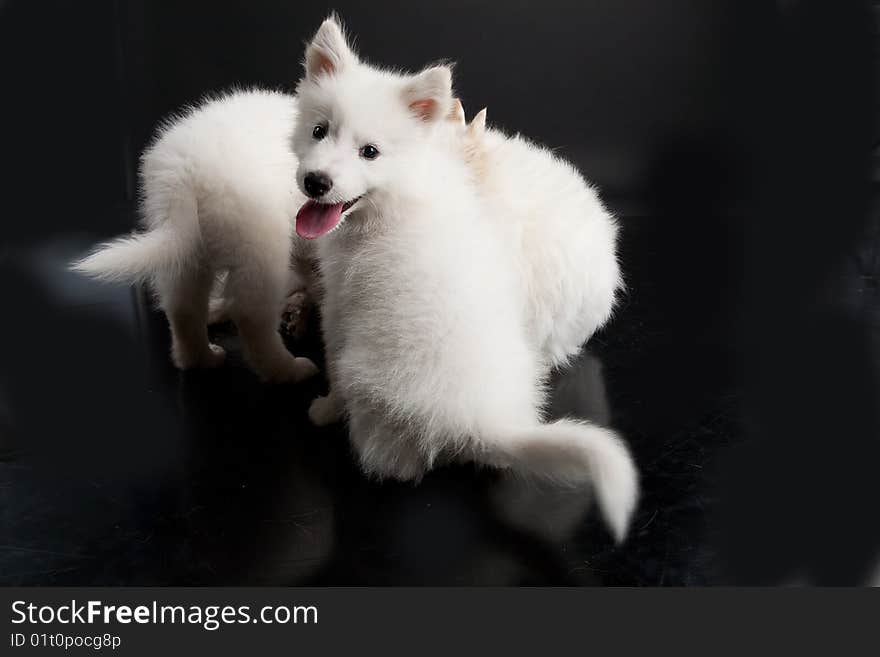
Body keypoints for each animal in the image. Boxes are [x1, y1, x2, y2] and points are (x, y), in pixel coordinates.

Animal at [72, 89, 318, 382]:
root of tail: (183, 173)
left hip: (188, 246)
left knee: (182, 304)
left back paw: (200, 358)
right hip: (260, 242)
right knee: (251, 313)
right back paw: (287, 369)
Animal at [290, 19, 640, 544]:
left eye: (370, 153)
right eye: (318, 131)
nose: (316, 182)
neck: (397, 201)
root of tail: (487, 424)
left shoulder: (340, 306)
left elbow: (329, 360)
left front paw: (325, 407)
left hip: (370, 383)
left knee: (395, 464)